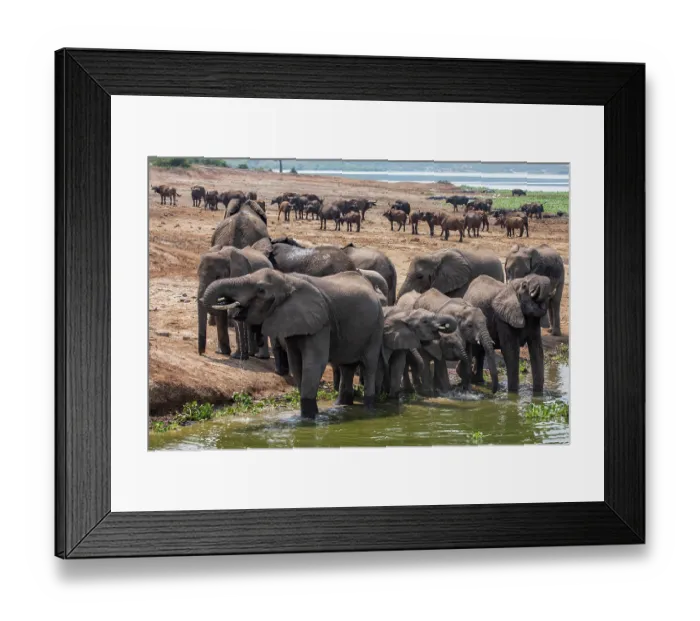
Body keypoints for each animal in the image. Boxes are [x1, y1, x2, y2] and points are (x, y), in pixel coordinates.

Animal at [202, 269, 384, 418]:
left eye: (261, 291)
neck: (288, 280)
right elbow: (296, 364)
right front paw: (307, 416)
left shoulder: (321, 323)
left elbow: (314, 363)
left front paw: (309, 419)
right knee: (347, 367)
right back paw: (340, 406)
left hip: (377, 327)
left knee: (369, 366)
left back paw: (369, 409)